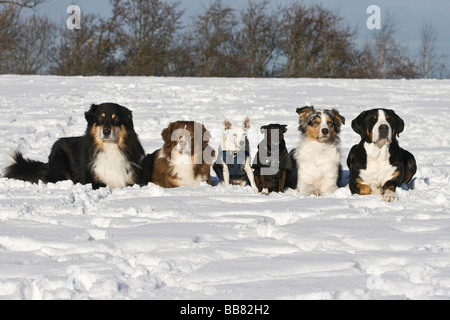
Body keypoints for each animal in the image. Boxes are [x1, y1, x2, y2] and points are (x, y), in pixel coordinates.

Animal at [2, 102, 144, 189]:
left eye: (116, 119)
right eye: (100, 118)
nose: (106, 131)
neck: (109, 147)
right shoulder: (93, 181)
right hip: (59, 159)